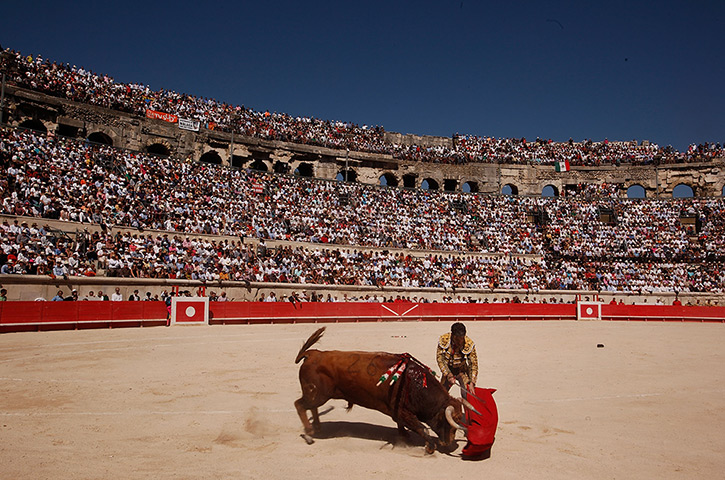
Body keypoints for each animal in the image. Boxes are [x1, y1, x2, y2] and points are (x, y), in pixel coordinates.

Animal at [294, 327, 475, 454]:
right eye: (451, 420)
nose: (449, 443)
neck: (415, 384)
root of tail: (313, 354)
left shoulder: (398, 412)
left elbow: (403, 424)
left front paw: (404, 436)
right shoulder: (402, 411)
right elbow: (421, 427)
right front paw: (430, 447)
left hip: (316, 395)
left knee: (311, 407)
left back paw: (317, 427)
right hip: (317, 394)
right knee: (300, 405)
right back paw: (309, 433)